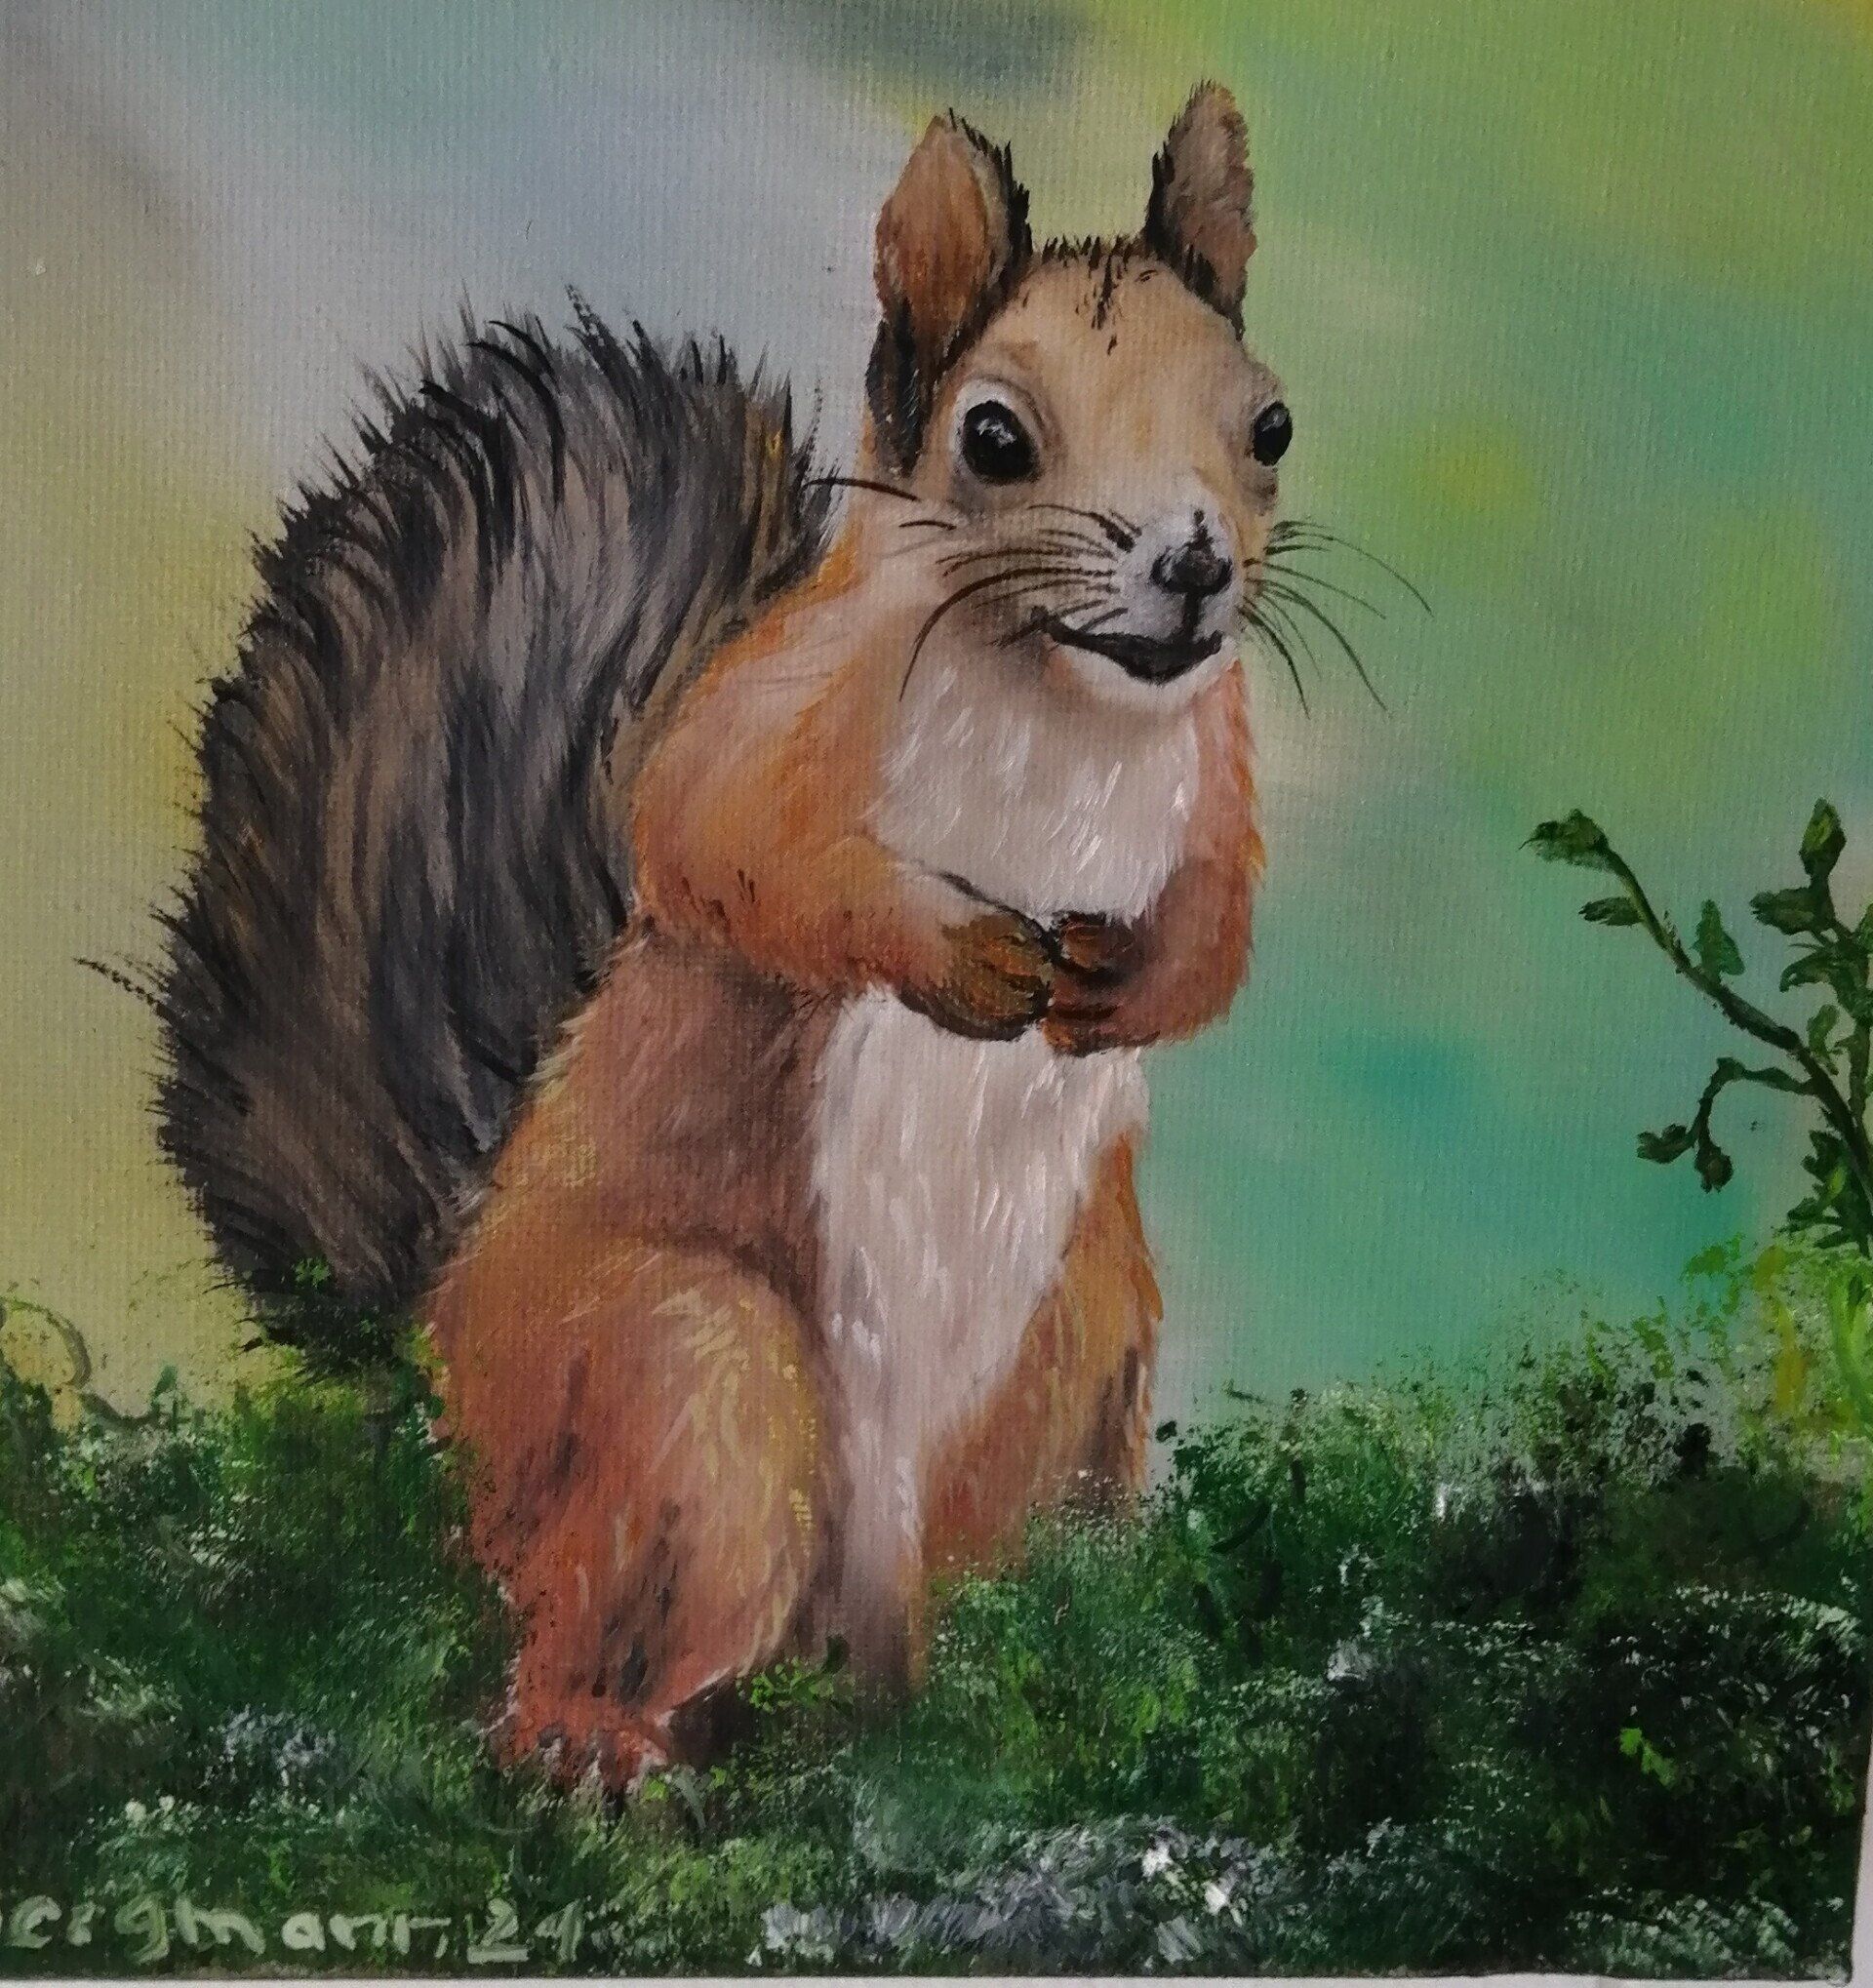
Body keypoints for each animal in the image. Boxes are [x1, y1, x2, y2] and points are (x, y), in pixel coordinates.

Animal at [155, 84, 1283, 1787]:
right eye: (994, 436)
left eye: (1268, 424)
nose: (1195, 565)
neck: (1064, 713)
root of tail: (440, 1349)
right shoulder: (773, 710)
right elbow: (709, 840)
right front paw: (956, 951)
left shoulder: (1211, 770)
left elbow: (1218, 927)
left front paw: (1128, 979)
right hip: (688, 1391)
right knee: (589, 1610)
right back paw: (593, 1737)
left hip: (1077, 1370)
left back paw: (997, 1705)